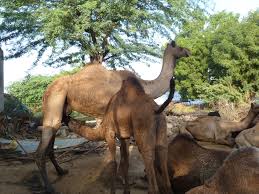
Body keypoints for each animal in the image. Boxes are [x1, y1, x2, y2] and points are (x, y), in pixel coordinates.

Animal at [34, 41, 190, 192]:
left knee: (52, 133)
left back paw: (60, 172)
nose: (188, 51)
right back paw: (48, 187)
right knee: (47, 137)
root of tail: (46, 90)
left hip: (63, 108)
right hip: (55, 97)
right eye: (179, 47)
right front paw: (121, 179)